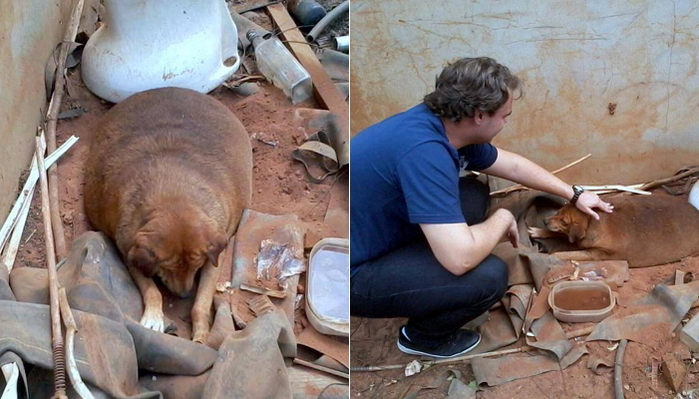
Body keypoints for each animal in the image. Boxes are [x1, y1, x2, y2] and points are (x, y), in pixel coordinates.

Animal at [83, 87, 252, 344]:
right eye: (166, 268)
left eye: (197, 265)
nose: (183, 295)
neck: (174, 198)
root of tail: (167, 88)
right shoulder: (131, 252)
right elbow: (152, 291)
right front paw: (153, 317)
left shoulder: (216, 257)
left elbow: (201, 305)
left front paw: (201, 335)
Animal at [532, 195, 699, 268]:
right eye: (558, 211)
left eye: (564, 221)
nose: (544, 221)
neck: (592, 221)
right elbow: (558, 233)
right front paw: (538, 231)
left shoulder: (594, 253)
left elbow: (562, 253)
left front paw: (547, 255)